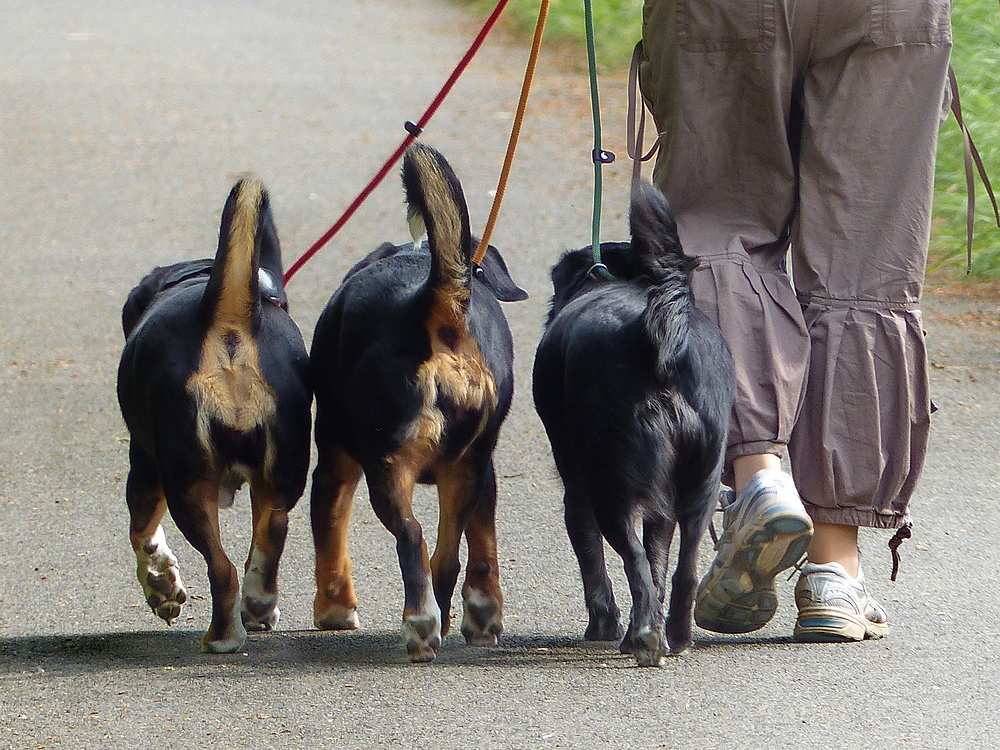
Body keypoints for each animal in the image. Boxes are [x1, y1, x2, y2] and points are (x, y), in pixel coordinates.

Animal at [115, 179, 308, 656]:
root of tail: (227, 315)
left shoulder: (144, 468)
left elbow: (142, 536)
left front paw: (162, 587)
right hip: (281, 475)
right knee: (269, 538)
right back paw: (258, 607)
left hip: (187, 482)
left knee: (222, 569)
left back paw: (222, 637)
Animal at [308, 142, 528, 664]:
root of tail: (434, 306)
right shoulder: (482, 470)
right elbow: (483, 547)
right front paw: (484, 617)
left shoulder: (335, 464)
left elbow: (329, 533)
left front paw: (334, 609)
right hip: (465, 468)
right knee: (445, 557)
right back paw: (444, 620)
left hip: (386, 468)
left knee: (412, 537)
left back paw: (420, 625)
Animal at [532, 182, 736, 668]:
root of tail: (659, 344)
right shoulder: (662, 506)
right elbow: (660, 557)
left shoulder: (578, 493)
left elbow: (595, 561)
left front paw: (603, 626)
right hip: (701, 488)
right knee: (683, 570)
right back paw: (675, 636)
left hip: (611, 489)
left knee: (634, 563)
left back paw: (643, 639)